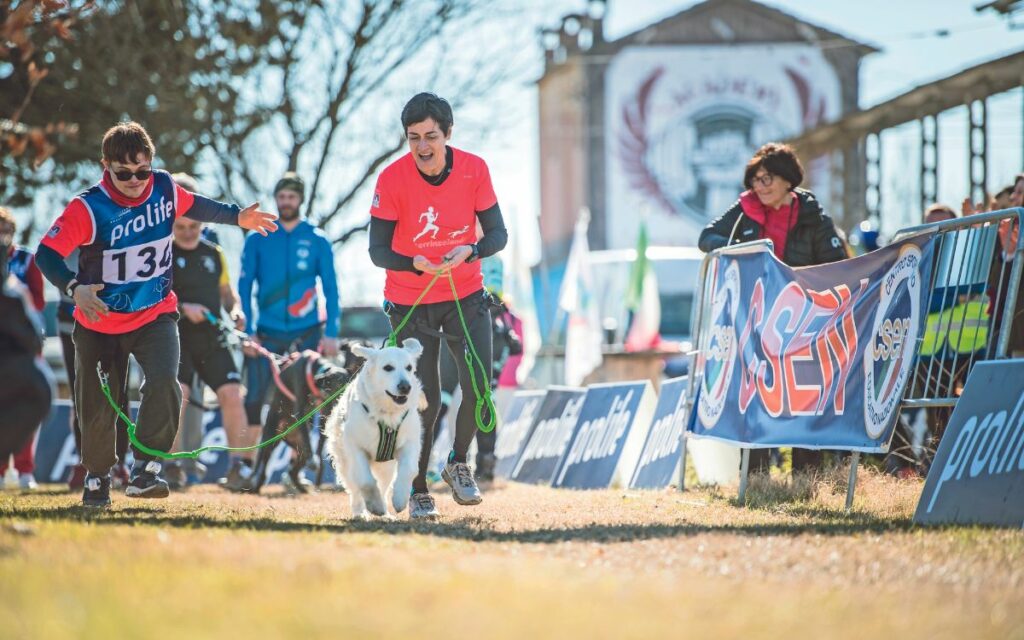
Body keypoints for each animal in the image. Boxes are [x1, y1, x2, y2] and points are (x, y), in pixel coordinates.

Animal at [248, 346, 356, 491]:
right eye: (339, 386)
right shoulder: (300, 411)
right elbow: (307, 437)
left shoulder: (325, 412)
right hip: (269, 439)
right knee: (263, 468)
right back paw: (255, 487)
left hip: (298, 451)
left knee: (292, 471)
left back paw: (302, 488)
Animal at [325, 337, 425, 516]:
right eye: (388, 367)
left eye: (409, 368)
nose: (405, 387)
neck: (387, 413)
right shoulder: (355, 447)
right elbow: (366, 481)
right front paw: (375, 506)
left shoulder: (410, 442)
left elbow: (409, 470)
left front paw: (400, 499)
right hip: (345, 462)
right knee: (355, 489)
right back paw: (360, 512)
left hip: (386, 466)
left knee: (383, 486)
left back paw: (386, 513)